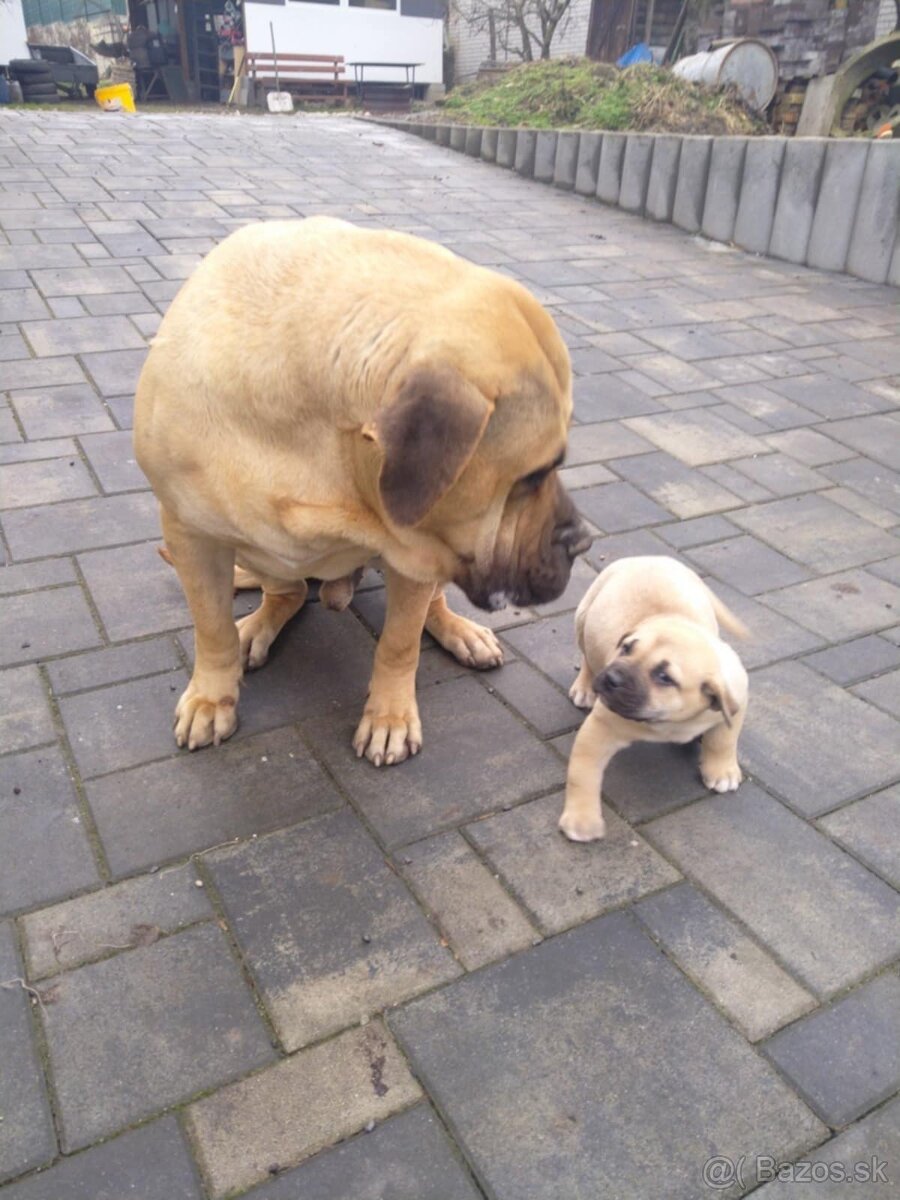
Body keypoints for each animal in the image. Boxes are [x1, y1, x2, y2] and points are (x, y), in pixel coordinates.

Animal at [135, 219, 592, 768]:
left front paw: (389, 717)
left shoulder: (416, 551)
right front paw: (210, 697)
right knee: (287, 593)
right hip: (258, 553)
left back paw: (458, 631)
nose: (583, 541)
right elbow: (211, 626)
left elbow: (399, 642)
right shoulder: (188, 532)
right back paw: (260, 624)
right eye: (534, 474)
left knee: (428, 608)